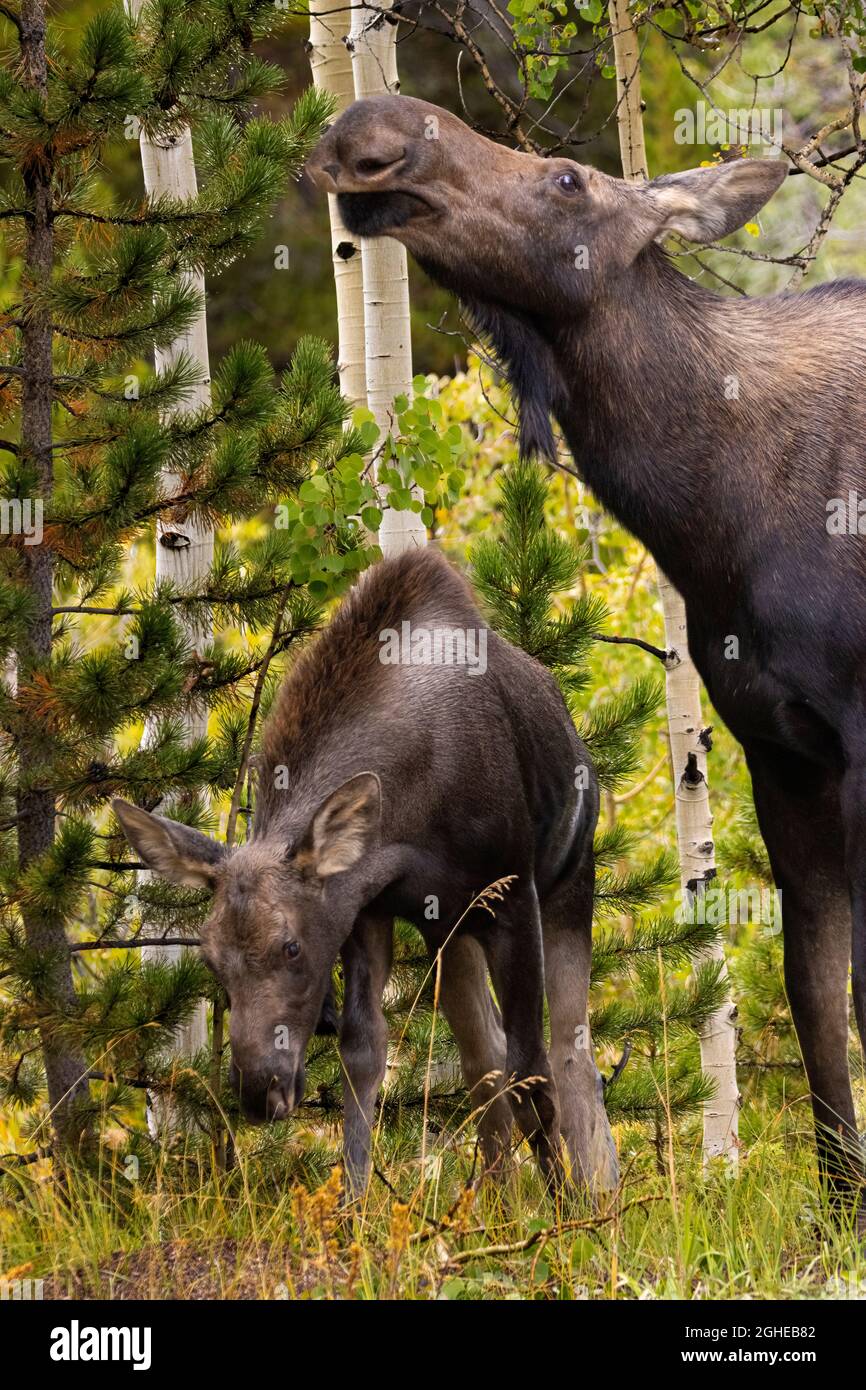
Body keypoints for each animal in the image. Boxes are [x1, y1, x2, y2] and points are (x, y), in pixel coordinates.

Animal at [113, 547, 617, 1200]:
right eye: (209, 958)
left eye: (292, 947)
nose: (258, 1092)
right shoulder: (366, 909)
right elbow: (365, 1057)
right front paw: (351, 1206)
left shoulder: (512, 898)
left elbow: (533, 1070)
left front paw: (565, 1211)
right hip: (448, 933)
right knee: (483, 1061)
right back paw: (499, 1200)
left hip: (569, 884)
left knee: (570, 1054)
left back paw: (598, 1187)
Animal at [309, 95, 866, 1217]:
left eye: (566, 178)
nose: (370, 128)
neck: (713, 519)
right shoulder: (779, 749)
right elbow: (812, 993)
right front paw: (840, 1206)